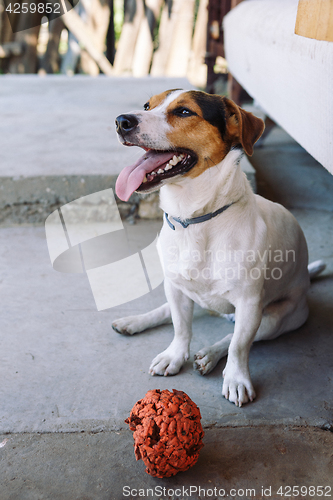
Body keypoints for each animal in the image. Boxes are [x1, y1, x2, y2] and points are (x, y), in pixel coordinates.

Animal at [111, 89, 324, 406]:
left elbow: (238, 346)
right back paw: (135, 321)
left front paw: (236, 379)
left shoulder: (249, 305)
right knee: (166, 311)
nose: (121, 121)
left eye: (184, 112)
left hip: (276, 319)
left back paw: (210, 356)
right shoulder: (176, 288)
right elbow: (181, 328)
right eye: (147, 106)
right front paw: (174, 356)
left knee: (235, 338)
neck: (195, 220)